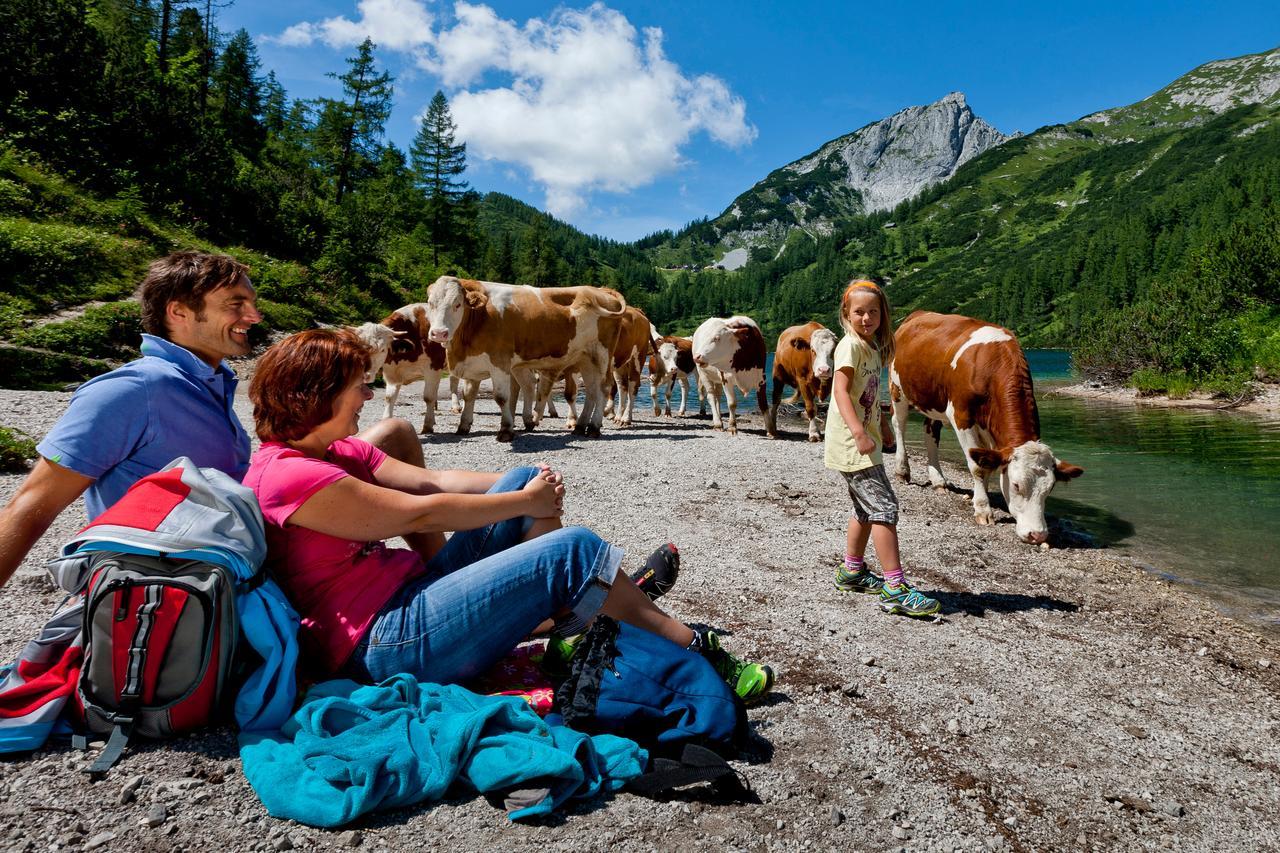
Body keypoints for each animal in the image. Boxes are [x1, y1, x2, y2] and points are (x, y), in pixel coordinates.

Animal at [424, 275, 624, 440]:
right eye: (430, 303)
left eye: (457, 304)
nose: (439, 333)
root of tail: (601, 291)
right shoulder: (473, 363)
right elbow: (469, 395)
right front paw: (463, 426)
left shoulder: (500, 362)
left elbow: (501, 397)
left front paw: (506, 430)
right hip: (586, 359)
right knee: (591, 391)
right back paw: (580, 426)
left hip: (603, 355)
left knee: (603, 388)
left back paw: (594, 427)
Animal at [885, 308, 1085, 540]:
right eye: (1016, 485)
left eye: (1050, 488)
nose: (1038, 535)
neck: (993, 366)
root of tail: (916, 314)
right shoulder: (961, 417)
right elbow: (978, 467)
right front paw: (982, 509)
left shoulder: (991, 429)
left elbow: (987, 464)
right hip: (897, 389)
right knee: (899, 425)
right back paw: (902, 471)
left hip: (934, 400)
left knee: (930, 432)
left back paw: (938, 481)